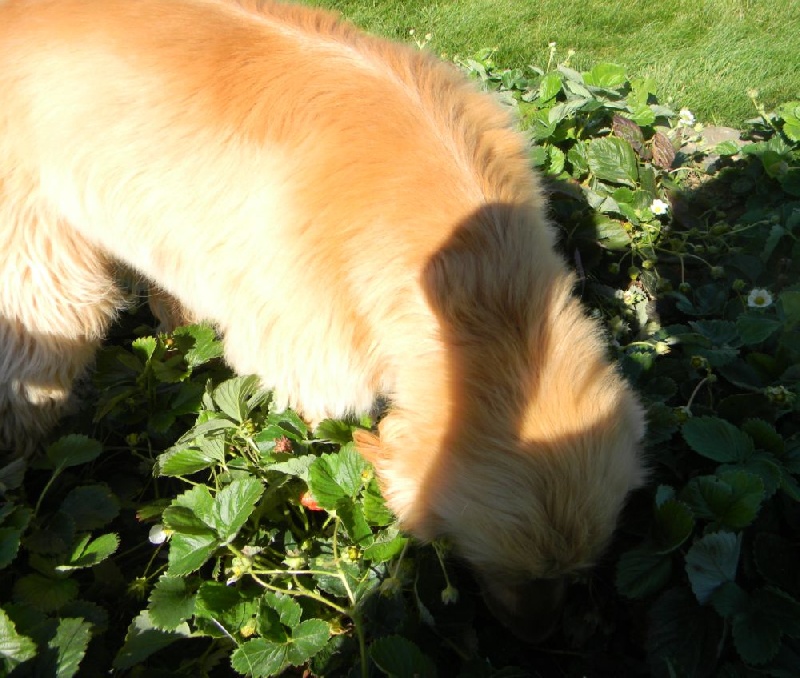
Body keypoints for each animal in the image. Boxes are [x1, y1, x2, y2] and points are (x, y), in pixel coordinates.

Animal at [0, 0, 648, 636]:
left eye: (576, 575)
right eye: (500, 570)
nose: (539, 638)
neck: (480, 280)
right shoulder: (307, 345)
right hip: (46, 275)